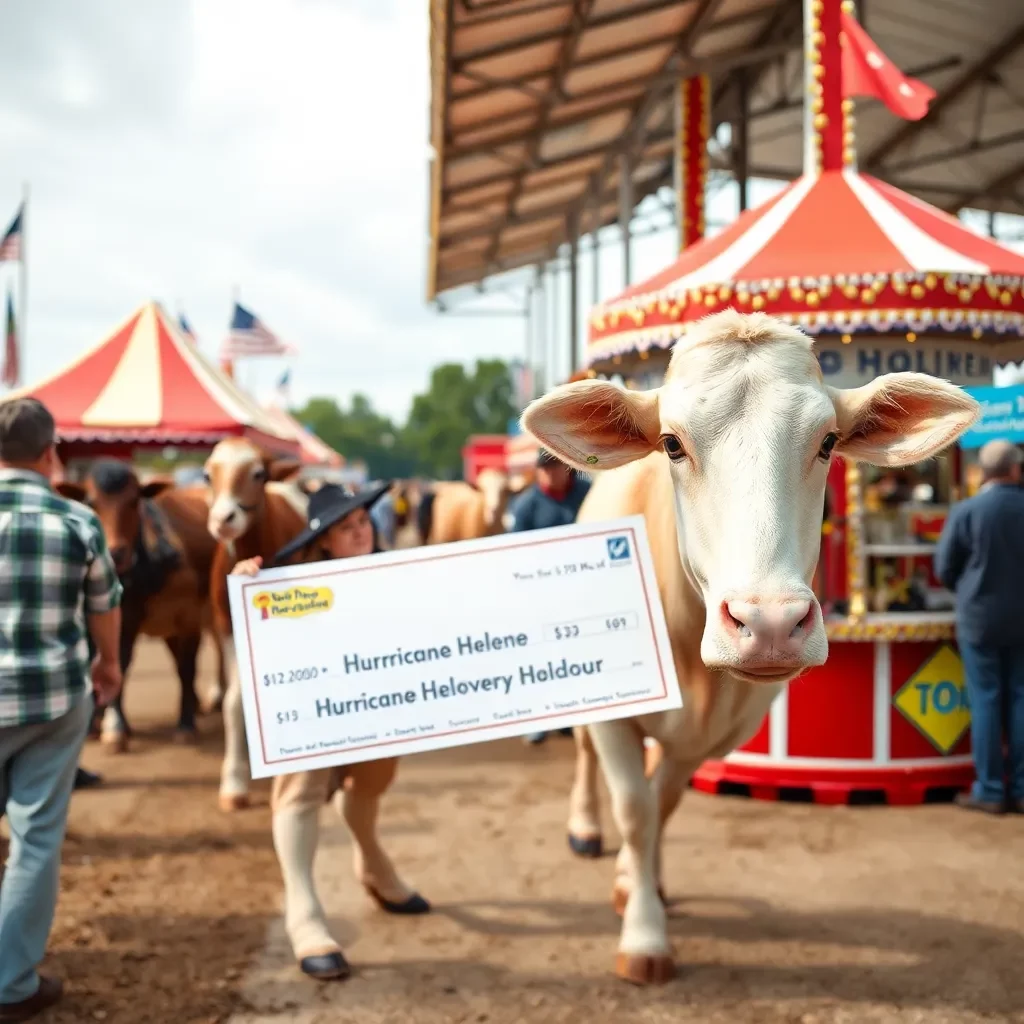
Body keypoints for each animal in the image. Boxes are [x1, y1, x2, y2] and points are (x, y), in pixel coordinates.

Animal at [56, 464, 224, 753]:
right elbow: (114, 665)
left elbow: (184, 667)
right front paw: (111, 726)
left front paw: (184, 725)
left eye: (135, 501)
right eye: (91, 502)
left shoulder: (186, 617)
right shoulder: (119, 620)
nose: (115, 552)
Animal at [524, 309, 978, 983]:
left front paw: (642, 887)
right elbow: (634, 808)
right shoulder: (617, 712)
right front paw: (644, 936)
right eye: (672, 444)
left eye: (827, 442)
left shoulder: (708, 738)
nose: (770, 624)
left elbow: (662, 803)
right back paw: (586, 829)